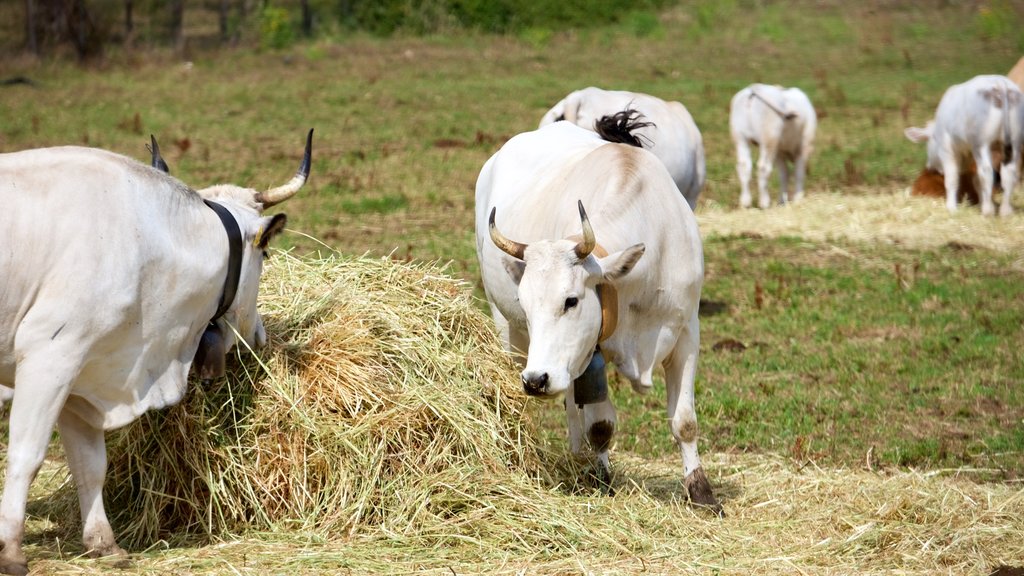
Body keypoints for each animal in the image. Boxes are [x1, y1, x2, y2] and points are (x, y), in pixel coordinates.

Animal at [0, 130, 311, 573]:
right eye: (265, 253)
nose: (260, 336)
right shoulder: (49, 356)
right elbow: (26, 456)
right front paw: (11, 551)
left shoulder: (83, 375)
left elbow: (90, 466)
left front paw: (103, 543)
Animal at [473, 111, 720, 510]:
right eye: (525, 304)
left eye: (571, 300)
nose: (535, 381)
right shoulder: (592, 351)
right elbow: (600, 424)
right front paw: (603, 479)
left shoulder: (686, 333)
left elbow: (684, 421)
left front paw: (702, 493)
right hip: (509, 332)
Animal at [909, 72, 1019, 215]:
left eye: (928, 141)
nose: (930, 167)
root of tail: (1000, 84)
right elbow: (976, 180)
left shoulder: (947, 148)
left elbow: (952, 178)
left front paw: (952, 208)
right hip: (1014, 141)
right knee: (1009, 172)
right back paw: (1005, 211)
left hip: (981, 142)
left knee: (987, 172)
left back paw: (988, 211)